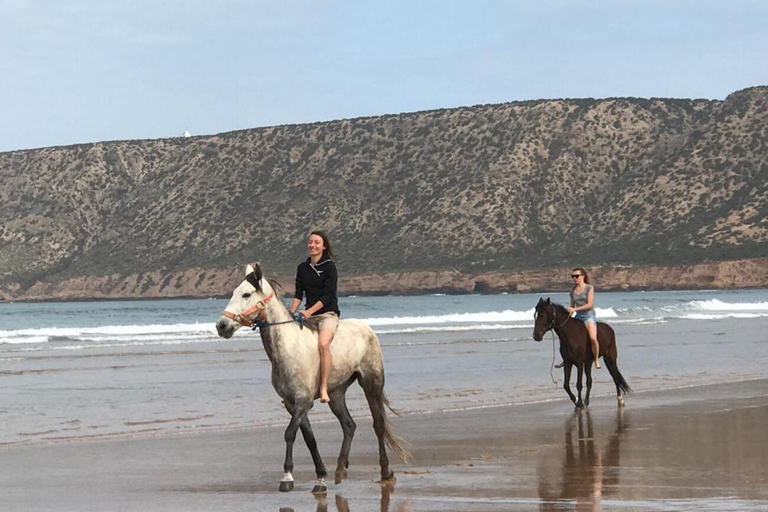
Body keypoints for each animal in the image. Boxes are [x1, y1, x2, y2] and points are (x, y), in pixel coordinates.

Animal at [213, 264, 412, 492]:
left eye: (246, 294)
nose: (222, 326)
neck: (287, 348)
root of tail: (367, 329)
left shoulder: (303, 400)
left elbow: (290, 433)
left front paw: (287, 477)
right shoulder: (291, 403)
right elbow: (309, 438)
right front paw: (320, 478)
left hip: (371, 384)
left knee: (378, 425)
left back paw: (385, 471)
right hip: (336, 394)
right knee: (349, 425)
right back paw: (340, 470)